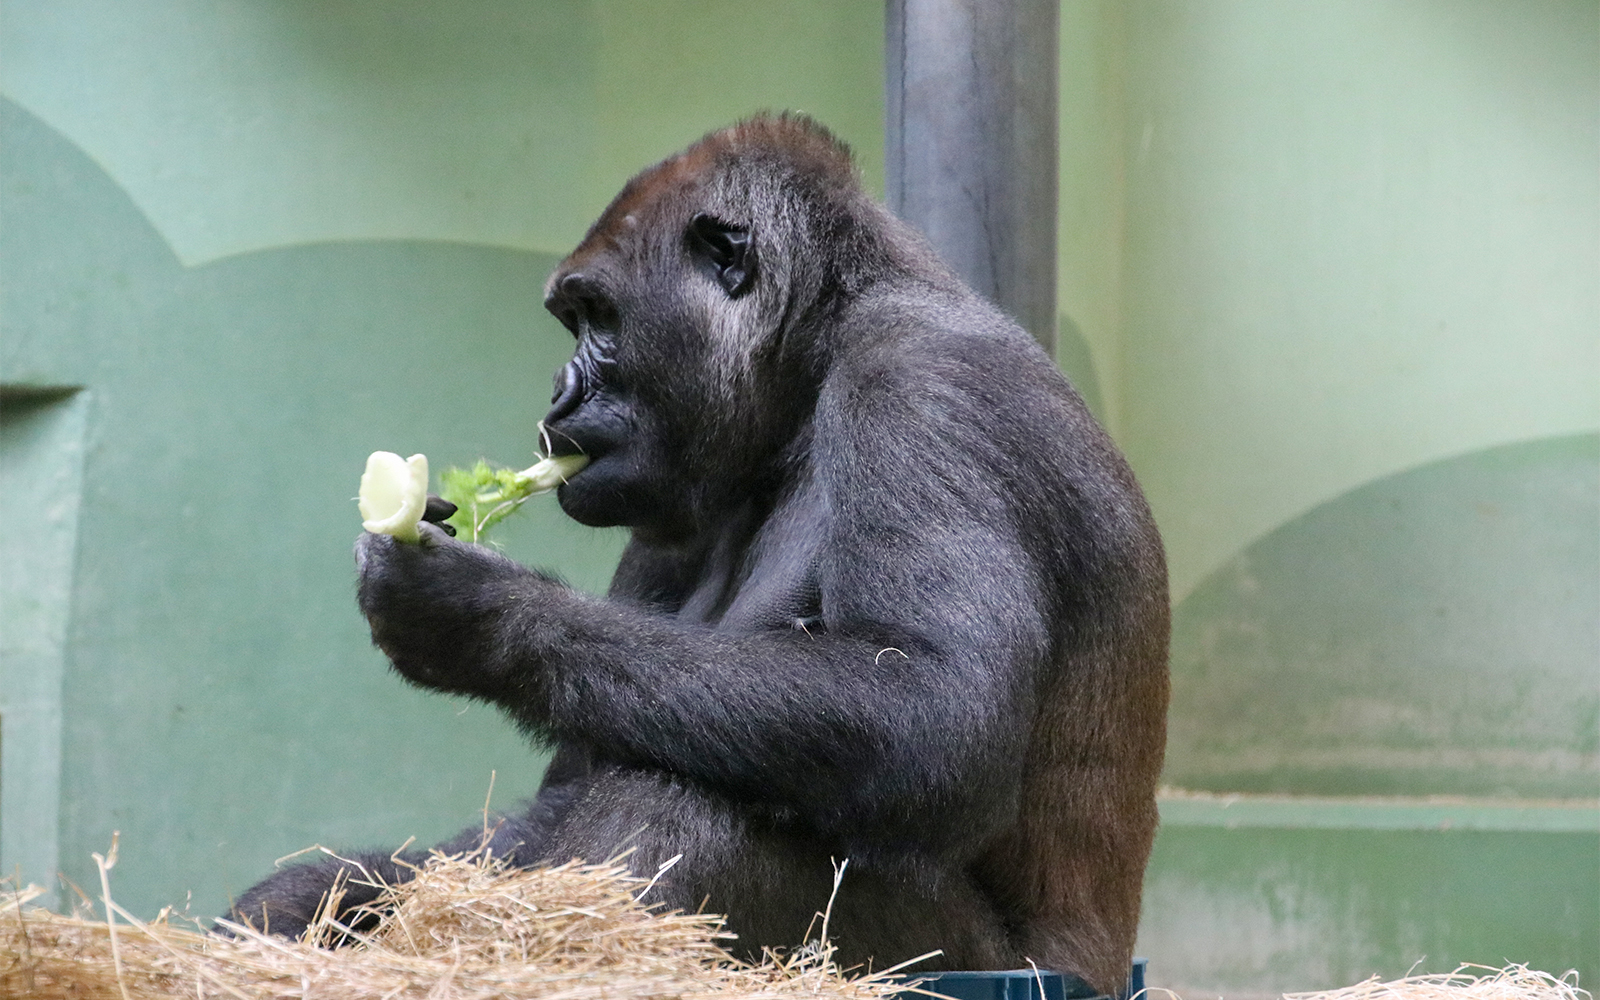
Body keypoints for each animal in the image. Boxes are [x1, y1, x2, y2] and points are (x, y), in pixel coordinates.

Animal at [230, 114, 1168, 994]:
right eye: (572, 320)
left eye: (597, 317)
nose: (556, 395)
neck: (816, 359)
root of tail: (1106, 969)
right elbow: (571, 774)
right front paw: (320, 896)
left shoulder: (926, 390)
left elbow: (934, 710)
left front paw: (481, 615)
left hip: (991, 971)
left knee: (687, 814)